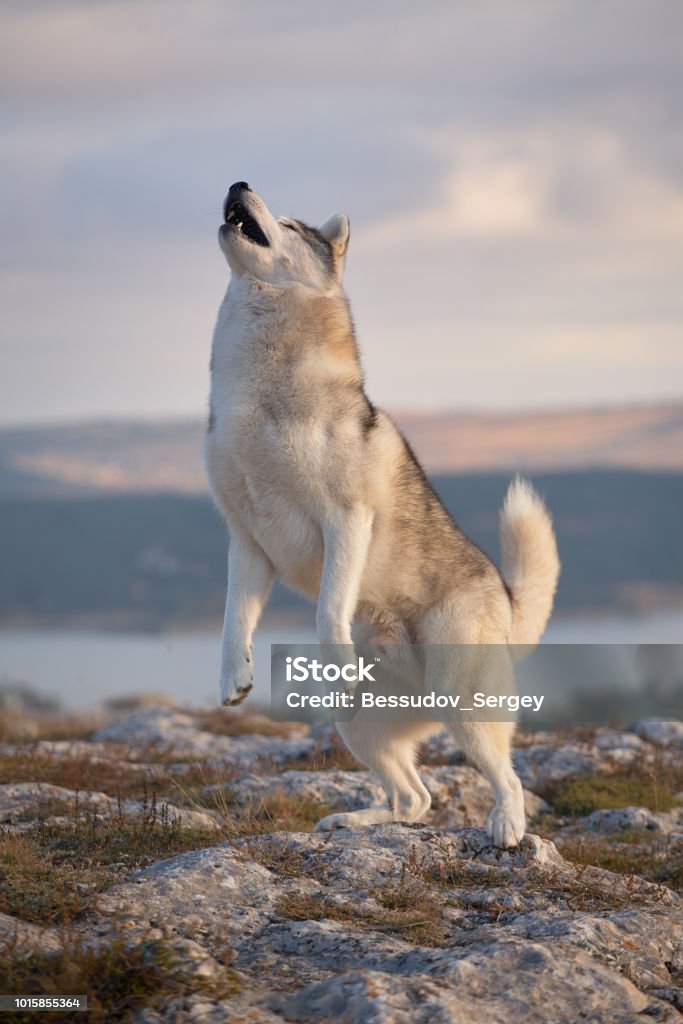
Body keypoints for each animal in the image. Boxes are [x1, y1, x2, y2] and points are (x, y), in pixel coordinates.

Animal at [205, 182, 557, 847]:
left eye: (290, 223)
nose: (238, 185)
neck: (258, 394)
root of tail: (504, 600)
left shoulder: (345, 518)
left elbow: (327, 611)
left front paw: (338, 659)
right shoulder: (246, 541)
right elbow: (233, 622)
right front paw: (233, 679)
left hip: (460, 696)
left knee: (508, 776)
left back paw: (506, 825)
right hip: (358, 724)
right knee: (415, 797)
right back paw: (356, 820)